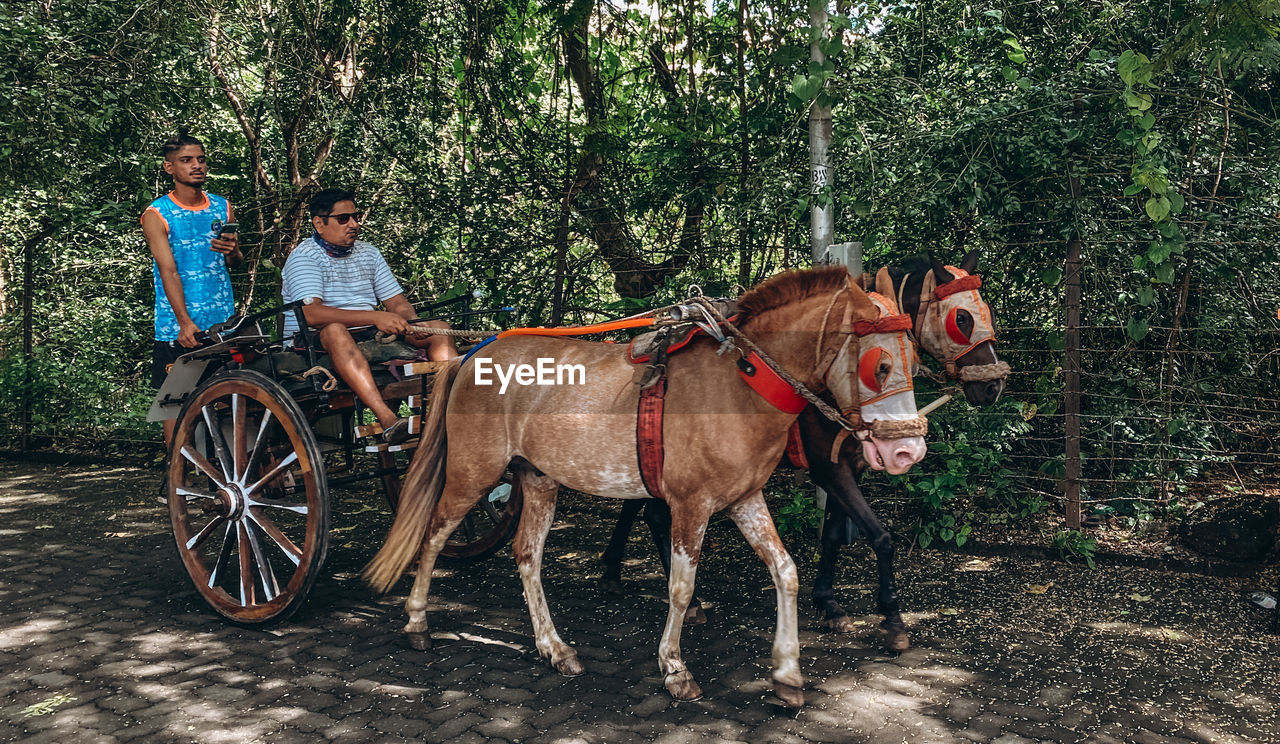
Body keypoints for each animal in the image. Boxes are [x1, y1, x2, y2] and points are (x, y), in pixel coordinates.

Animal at [366, 265, 926, 701]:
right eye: (879, 366)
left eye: (916, 360)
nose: (908, 451)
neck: (741, 382)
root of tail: (470, 355)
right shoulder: (691, 505)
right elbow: (681, 586)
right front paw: (675, 669)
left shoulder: (745, 498)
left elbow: (785, 571)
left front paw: (787, 672)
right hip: (472, 472)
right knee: (434, 536)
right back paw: (417, 622)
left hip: (539, 479)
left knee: (526, 555)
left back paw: (554, 648)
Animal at [599, 248, 1008, 642]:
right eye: (962, 319)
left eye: (987, 312)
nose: (993, 386)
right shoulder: (828, 466)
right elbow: (880, 536)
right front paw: (891, 618)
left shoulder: (848, 462)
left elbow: (833, 534)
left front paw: (828, 602)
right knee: (654, 515)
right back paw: (689, 599)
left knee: (636, 504)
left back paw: (612, 570)